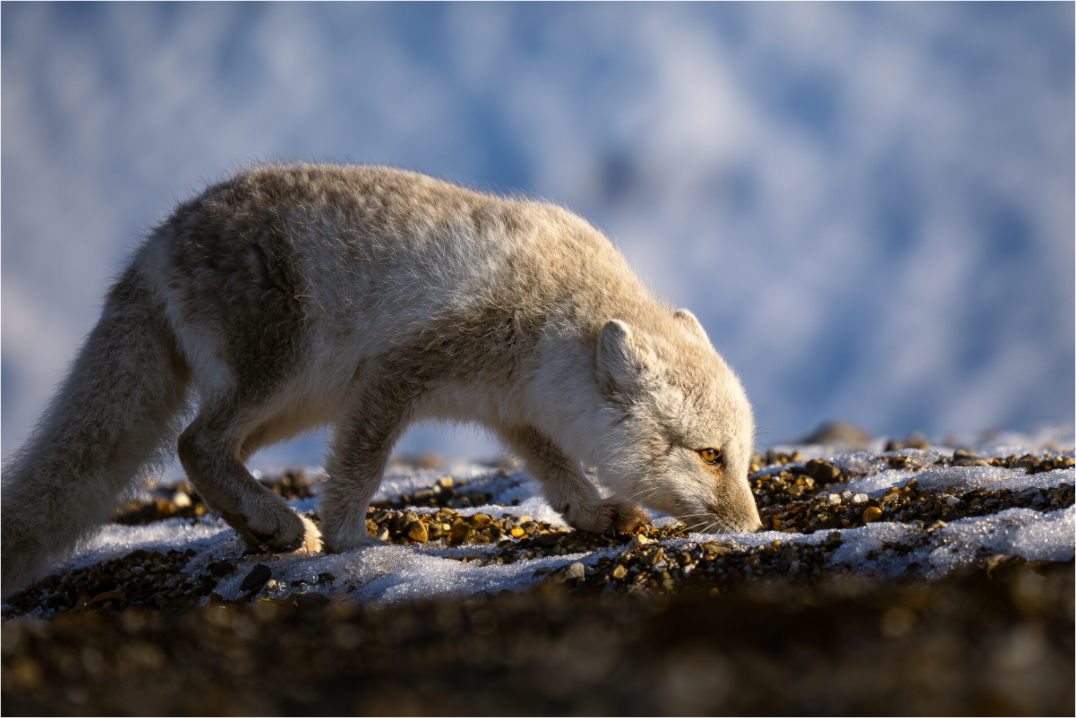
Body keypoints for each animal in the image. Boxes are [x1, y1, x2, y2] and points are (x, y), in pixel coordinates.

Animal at [0, 163, 761, 599]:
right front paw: (353, 545)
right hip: (287, 371)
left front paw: (597, 515)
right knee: (196, 441)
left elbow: (559, 473)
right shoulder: (395, 373)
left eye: (743, 457)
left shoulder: (512, 412)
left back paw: (262, 529)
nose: (755, 529)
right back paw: (285, 525)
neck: (552, 318)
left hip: (295, 403)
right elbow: (360, 468)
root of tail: (156, 242)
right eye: (710, 455)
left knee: (208, 448)